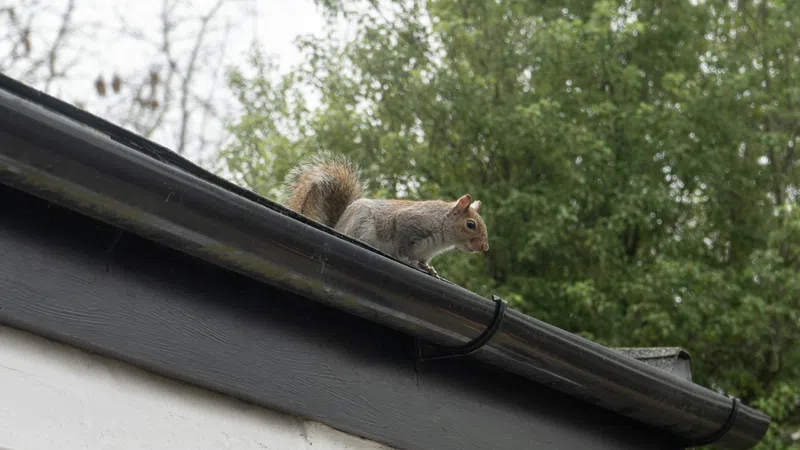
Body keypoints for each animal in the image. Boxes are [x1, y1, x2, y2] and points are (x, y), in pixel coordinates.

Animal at [281, 151, 489, 278]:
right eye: (471, 224)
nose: (484, 247)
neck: (442, 237)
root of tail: (338, 225)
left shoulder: (425, 252)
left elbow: (423, 260)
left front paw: (428, 268)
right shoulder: (413, 222)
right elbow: (402, 244)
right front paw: (406, 259)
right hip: (361, 223)